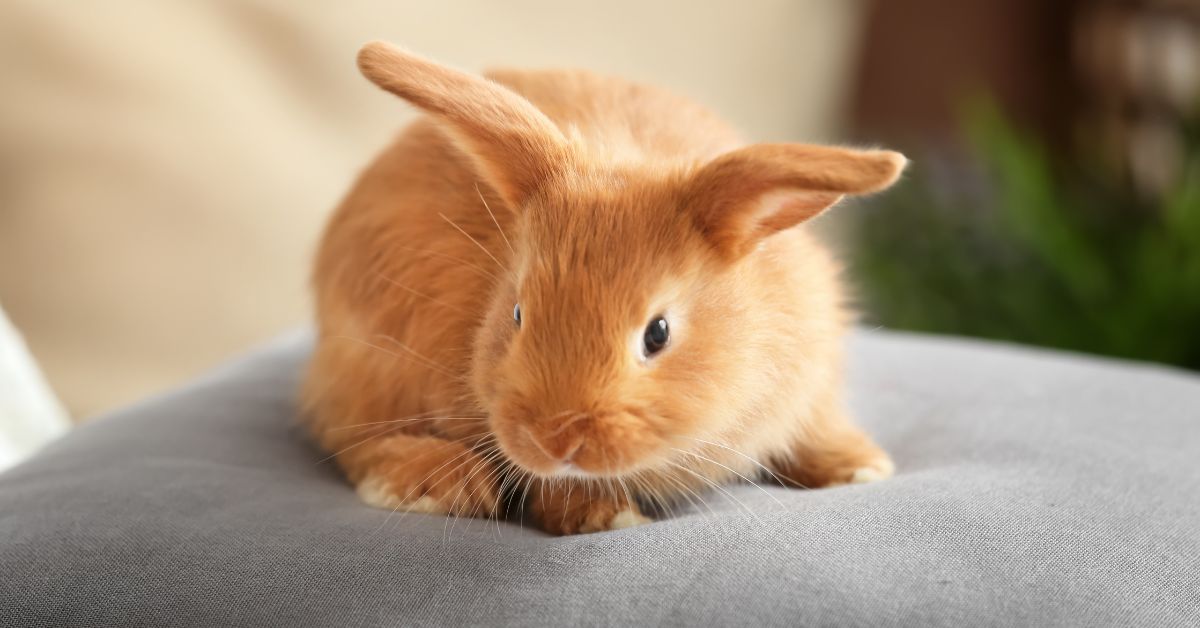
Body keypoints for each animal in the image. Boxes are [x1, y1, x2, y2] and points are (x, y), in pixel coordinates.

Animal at [302, 41, 905, 535]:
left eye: (658, 333)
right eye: (517, 313)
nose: (555, 439)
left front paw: (861, 468)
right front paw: (608, 517)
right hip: (367, 370)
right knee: (351, 438)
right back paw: (441, 485)